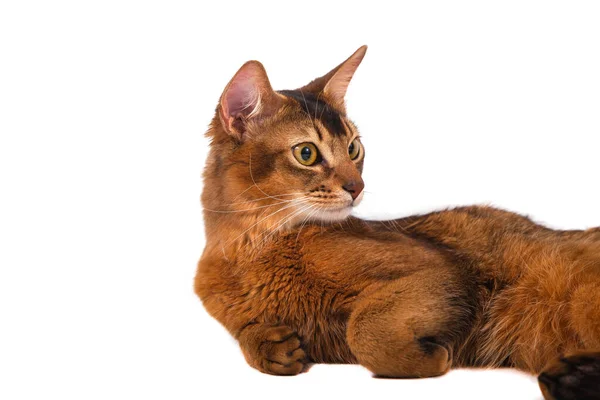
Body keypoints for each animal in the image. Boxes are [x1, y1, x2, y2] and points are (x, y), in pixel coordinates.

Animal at [196, 47, 600, 400]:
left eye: (354, 148)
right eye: (306, 153)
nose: (357, 187)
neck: (247, 247)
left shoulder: (440, 269)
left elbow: (362, 329)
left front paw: (429, 360)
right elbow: (249, 333)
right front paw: (270, 346)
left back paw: (570, 376)